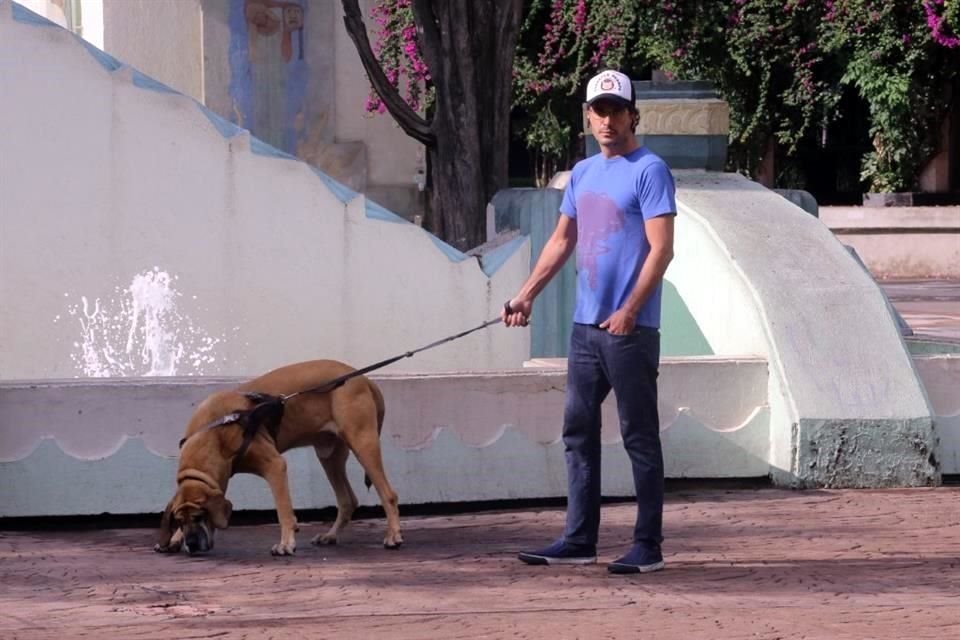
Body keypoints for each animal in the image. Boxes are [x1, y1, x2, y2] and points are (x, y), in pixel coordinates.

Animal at [156, 360, 404, 556]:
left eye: (200, 516)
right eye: (179, 520)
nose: (192, 544)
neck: (213, 431)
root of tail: (365, 379)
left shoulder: (275, 466)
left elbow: (283, 510)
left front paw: (286, 543)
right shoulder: (219, 478)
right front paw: (175, 539)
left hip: (363, 443)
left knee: (388, 493)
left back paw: (393, 535)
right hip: (329, 455)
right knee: (347, 500)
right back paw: (330, 535)